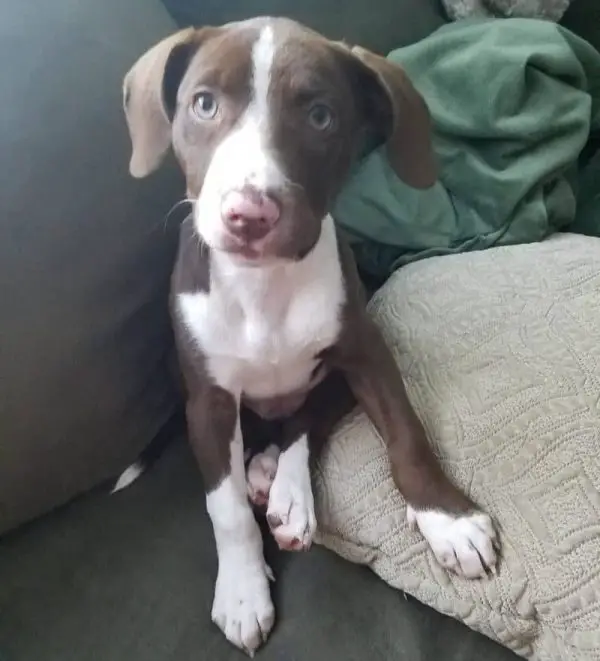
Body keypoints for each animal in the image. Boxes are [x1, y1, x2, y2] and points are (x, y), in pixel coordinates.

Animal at [122, 15, 496, 656]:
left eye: (321, 116)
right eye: (203, 104)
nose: (248, 215)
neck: (264, 287)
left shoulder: (368, 356)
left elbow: (407, 435)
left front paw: (447, 519)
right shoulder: (209, 403)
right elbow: (225, 510)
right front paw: (242, 591)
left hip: (335, 377)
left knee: (304, 422)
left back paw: (285, 490)